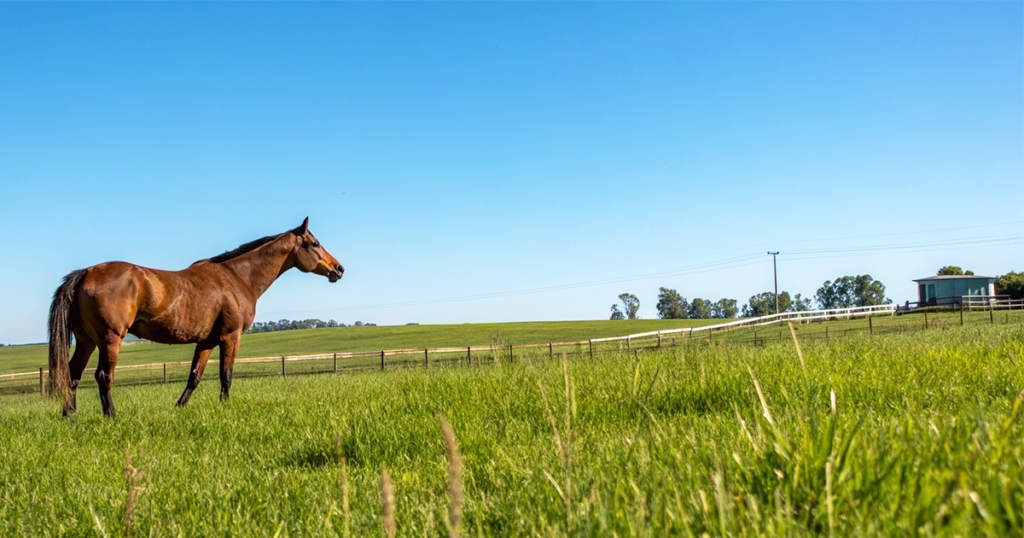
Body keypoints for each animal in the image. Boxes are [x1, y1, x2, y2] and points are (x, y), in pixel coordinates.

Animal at [47, 218, 343, 417]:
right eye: (315, 243)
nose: (338, 269)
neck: (237, 278)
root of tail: (86, 273)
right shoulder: (231, 337)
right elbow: (226, 374)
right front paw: (225, 407)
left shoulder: (206, 341)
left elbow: (194, 377)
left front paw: (179, 406)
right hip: (110, 340)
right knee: (103, 376)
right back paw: (111, 416)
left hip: (87, 342)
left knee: (72, 375)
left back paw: (70, 416)